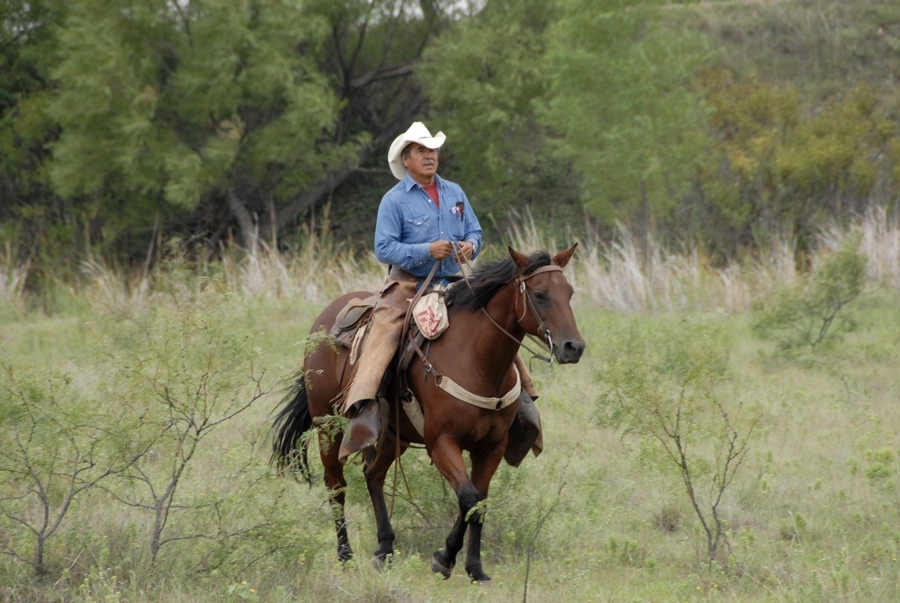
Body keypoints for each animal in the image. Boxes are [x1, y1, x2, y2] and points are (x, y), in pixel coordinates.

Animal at [270, 245, 588, 584]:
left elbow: (479, 502)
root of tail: (324, 320)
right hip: (327, 426)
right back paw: (346, 556)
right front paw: (445, 560)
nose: (574, 347)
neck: (475, 359)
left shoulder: (492, 446)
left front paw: (475, 568)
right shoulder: (441, 442)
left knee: (373, 475)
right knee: (336, 485)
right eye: (539, 294)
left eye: (569, 292)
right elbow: (468, 497)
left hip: (393, 436)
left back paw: (385, 549)